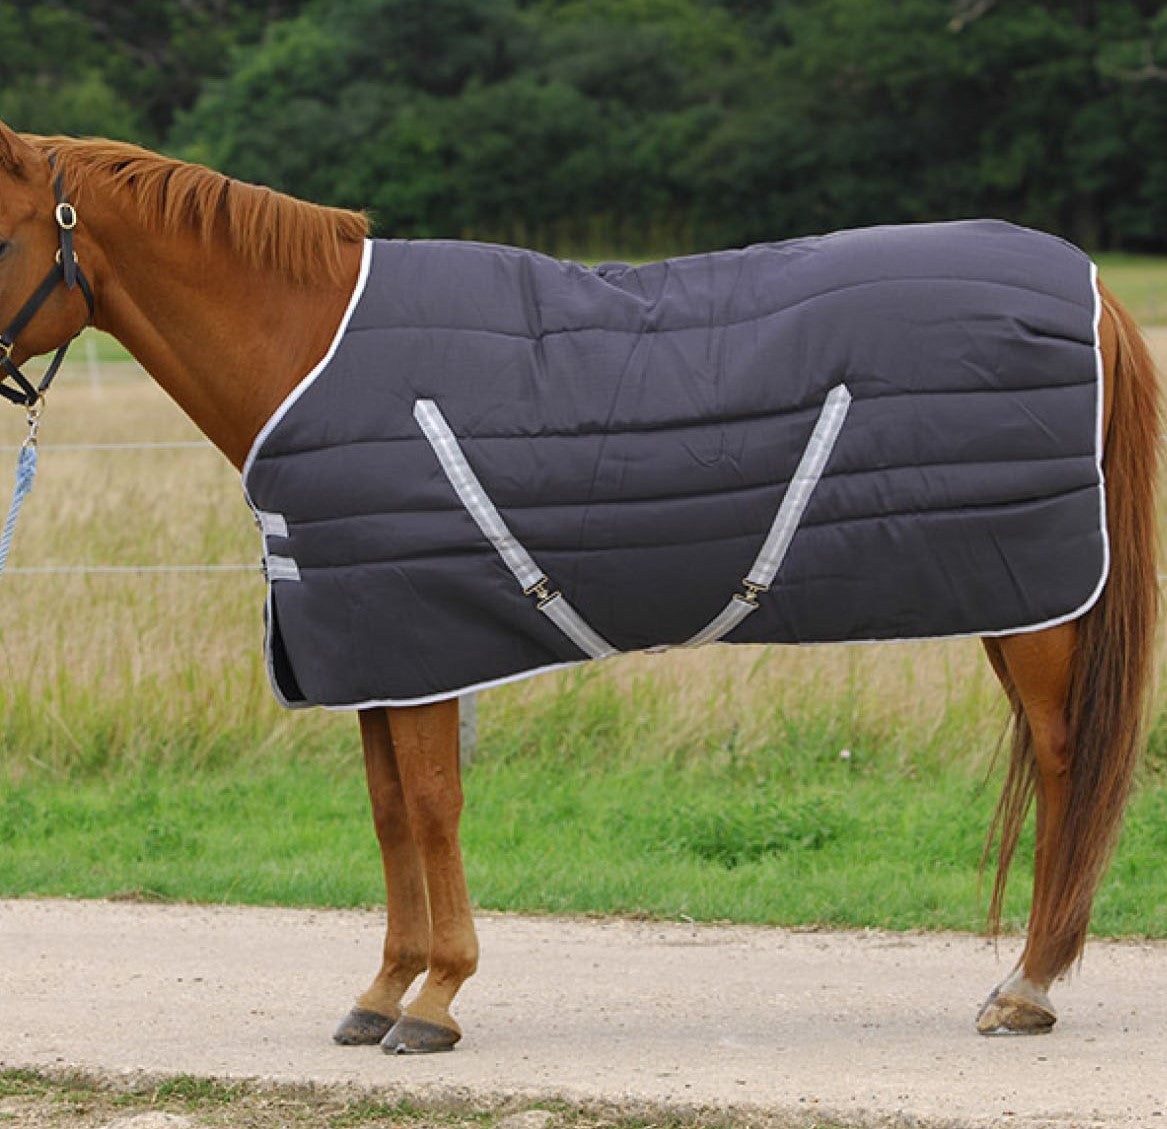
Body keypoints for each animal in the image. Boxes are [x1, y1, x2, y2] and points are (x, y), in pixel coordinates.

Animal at [0, 119, 1159, 1052]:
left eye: (2, 235)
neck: (310, 352)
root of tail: (1094, 289)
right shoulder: (372, 650)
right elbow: (389, 811)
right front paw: (382, 991)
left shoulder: (420, 641)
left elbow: (432, 804)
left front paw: (436, 1000)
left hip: (1037, 613)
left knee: (1066, 763)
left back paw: (1026, 988)